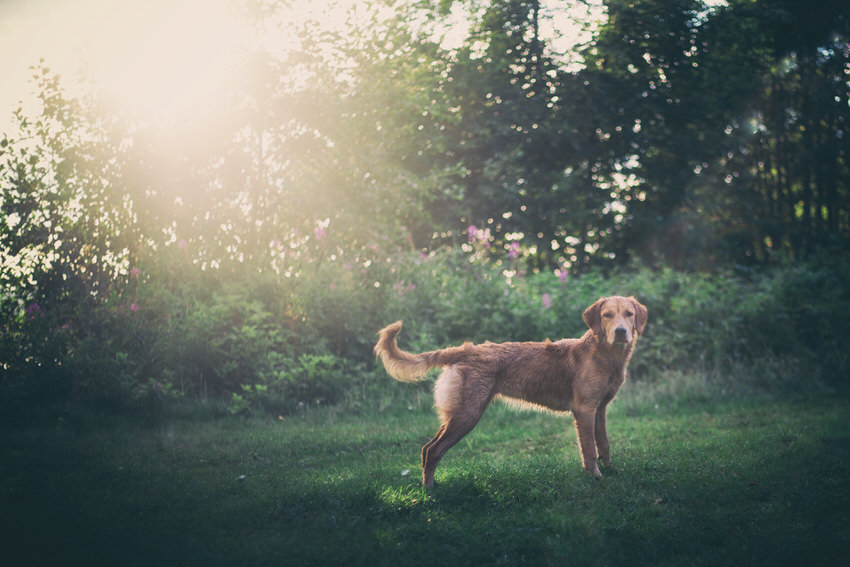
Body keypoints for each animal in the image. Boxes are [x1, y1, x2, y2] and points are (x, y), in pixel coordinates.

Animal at [374, 298, 644, 488]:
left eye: (628, 314)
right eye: (607, 315)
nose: (621, 331)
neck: (603, 355)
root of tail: (464, 350)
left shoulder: (600, 410)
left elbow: (604, 443)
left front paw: (611, 470)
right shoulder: (584, 410)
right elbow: (589, 449)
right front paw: (595, 477)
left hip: (457, 414)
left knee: (427, 448)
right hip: (467, 415)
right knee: (432, 450)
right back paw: (429, 491)